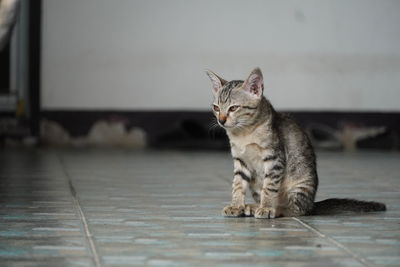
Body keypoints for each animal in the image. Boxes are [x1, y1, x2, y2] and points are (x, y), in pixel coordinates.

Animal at [205, 68, 386, 219]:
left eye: (233, 108)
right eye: (216, 108)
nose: (221, 120)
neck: (244, 133)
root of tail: (312, 204)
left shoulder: (275, 158)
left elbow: (269, 186)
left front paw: (267, 208)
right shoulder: (240, 161)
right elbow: (237, 184)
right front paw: (236, 205)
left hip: (301, 183)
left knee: (297, 210)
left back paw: (274, 209)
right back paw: (252, 206)